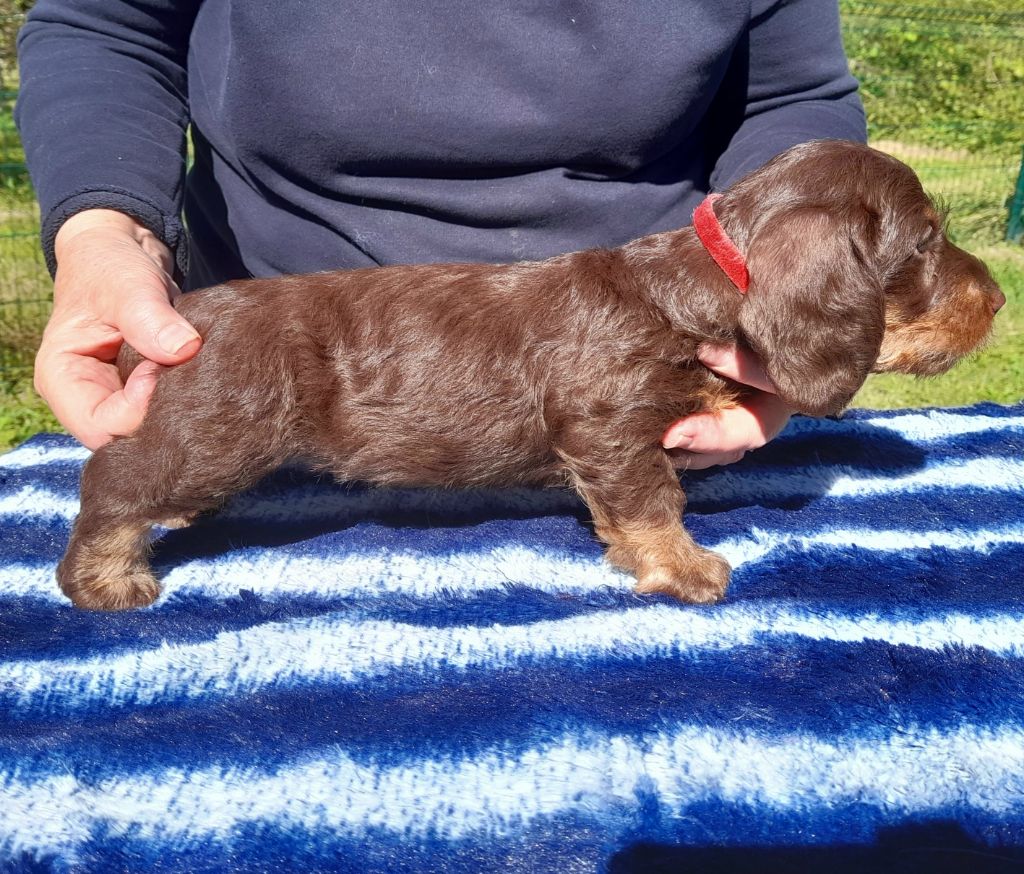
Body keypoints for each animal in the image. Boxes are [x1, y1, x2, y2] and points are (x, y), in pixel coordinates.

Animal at [57, 140, 1004, 610]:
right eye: (924, 240)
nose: (997, 298)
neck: (690, 287)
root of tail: (186, 316)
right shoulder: (612, 429)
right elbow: (654, 503)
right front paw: (684, 568)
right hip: (208, 437)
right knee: (113, 485)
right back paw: (104, 580)